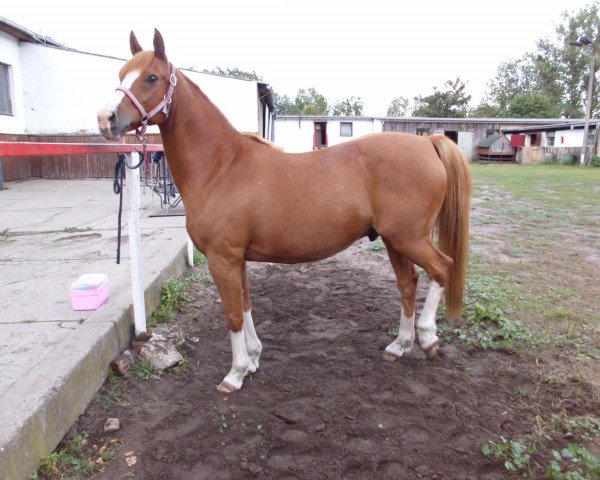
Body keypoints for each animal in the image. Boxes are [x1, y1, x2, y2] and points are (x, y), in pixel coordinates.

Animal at [98, 30, 472, 392]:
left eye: (151, 77)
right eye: (120, 73)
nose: (106, 119)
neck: (221, 166)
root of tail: (426, 142)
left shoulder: (223, 259)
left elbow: (233, 315)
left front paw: (235, 374)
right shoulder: (237, 259)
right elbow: (246, 305)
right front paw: (252, 358)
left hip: (409, 238)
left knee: (442, 268)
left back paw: (428, 338)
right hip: (394, 240)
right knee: (408, 282)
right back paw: (400, 345)